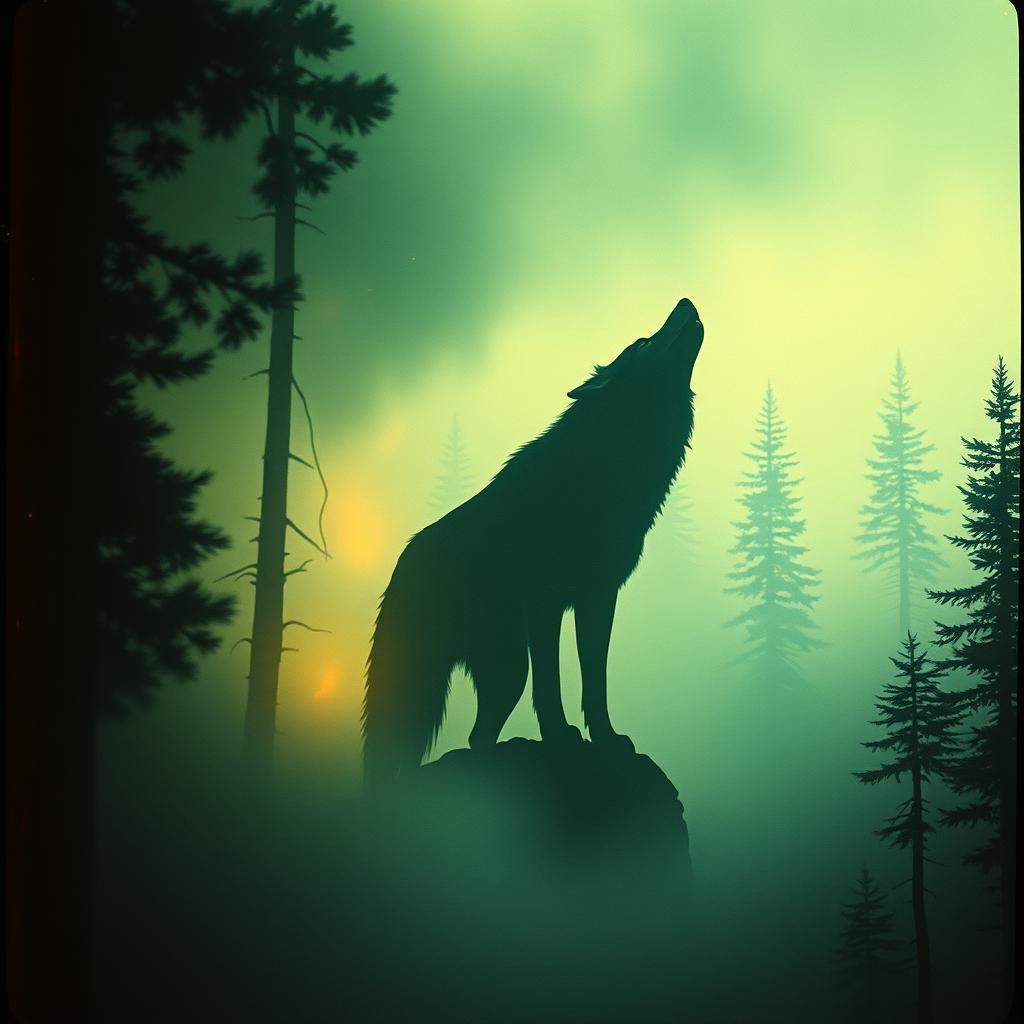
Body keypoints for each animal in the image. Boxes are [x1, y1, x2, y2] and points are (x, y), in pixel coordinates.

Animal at [362, 298, 704, 783]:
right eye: (643, 342)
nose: (686, 301)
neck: (605, 466)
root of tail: (401, 565)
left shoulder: (598, 596)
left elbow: (594, 678)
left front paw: (605, 737)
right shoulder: (545, 602)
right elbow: (552, 682)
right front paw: (560, 737)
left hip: (502, 672)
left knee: (474, 738)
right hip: (490, 666)